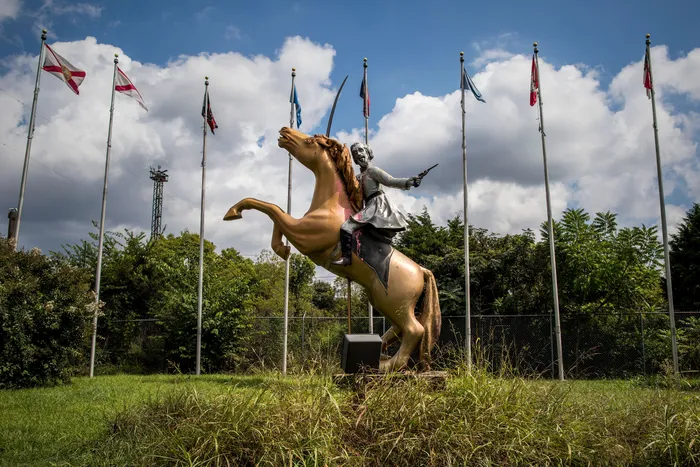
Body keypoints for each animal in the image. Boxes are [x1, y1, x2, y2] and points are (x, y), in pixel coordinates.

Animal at [224, 128, 440, 372]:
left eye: (309, 141)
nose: (285, 131)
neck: (330, 206)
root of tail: (421, 270)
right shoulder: (299, 231)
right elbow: (276, 214)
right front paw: (281, 249)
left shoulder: (304, 236)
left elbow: (274, 210)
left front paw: (234, 212)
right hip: (384, 301)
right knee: (398, 330)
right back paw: (379, 357)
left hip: (394, 303)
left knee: (414, 330)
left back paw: (385, 366)